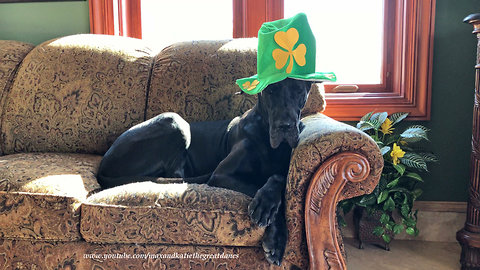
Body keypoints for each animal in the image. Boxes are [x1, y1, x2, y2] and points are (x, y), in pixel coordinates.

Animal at [98, 78, 316, 266]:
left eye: (298, 91)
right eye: (271, 91)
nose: (285, 126)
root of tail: (103, 163)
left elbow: (280, 179)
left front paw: (276, 236)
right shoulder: (222, 174)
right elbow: (263, 187)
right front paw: (269, 217)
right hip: (174, 120)